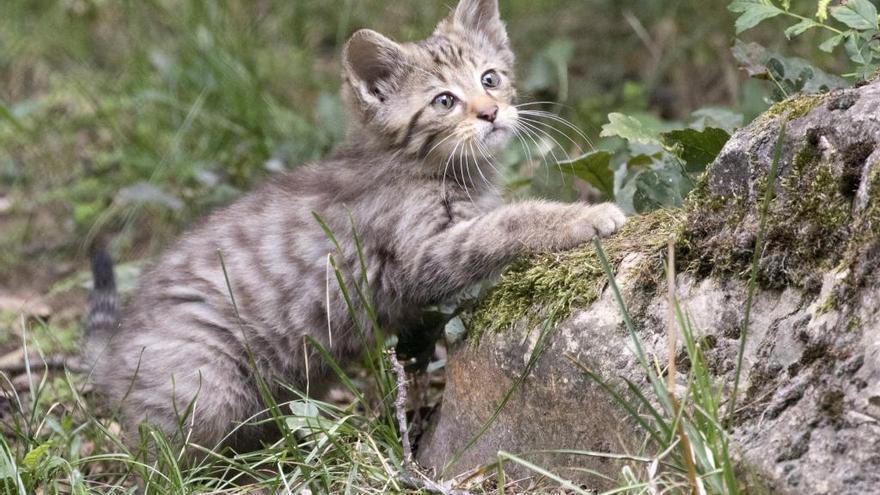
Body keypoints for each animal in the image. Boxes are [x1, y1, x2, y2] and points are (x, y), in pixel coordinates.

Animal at [84, 0, 624, 454]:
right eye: (444, 101)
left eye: (490, 78)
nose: (491, 112)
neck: (428, 167)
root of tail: (115, 353)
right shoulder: (419, 255)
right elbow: (505, 224)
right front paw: (585, 216)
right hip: (206, 387)